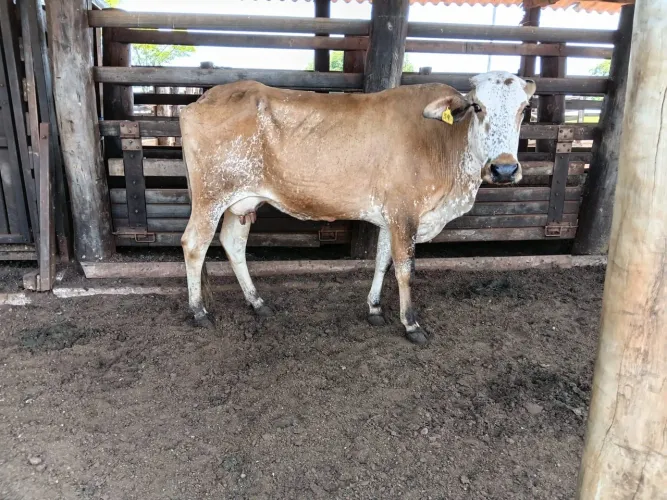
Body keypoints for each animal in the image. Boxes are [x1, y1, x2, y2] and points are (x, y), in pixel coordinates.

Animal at [179, 70, 536, 345]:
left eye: (524, 109)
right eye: (478, 107)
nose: (504, 169)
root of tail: (199, 101)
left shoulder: (390, 216)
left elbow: (381, 261)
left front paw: (375, 309)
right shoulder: (405, 213)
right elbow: (405, 269)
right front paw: (411, 324)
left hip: (240, 202)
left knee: (233, 244)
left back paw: (257, 303)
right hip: (211, 196)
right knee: (194, 244)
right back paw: (199, 311)